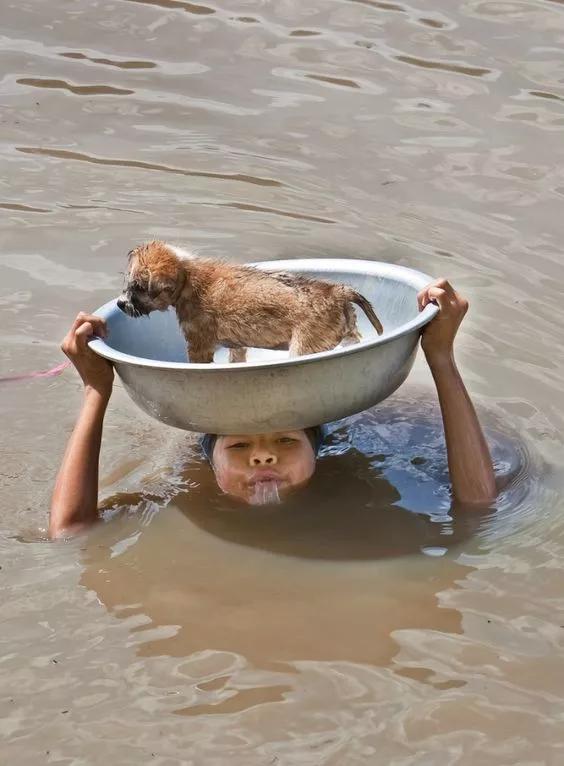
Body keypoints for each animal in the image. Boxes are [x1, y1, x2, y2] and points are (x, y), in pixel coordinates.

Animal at [118, 242, 384, 364]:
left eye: (138, 287)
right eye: (128, 282)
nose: (121, 304)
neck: (187, 277)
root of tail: (337, 291)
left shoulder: (198, 345)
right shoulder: (236, 345)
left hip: (303, 347)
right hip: (348, 333)